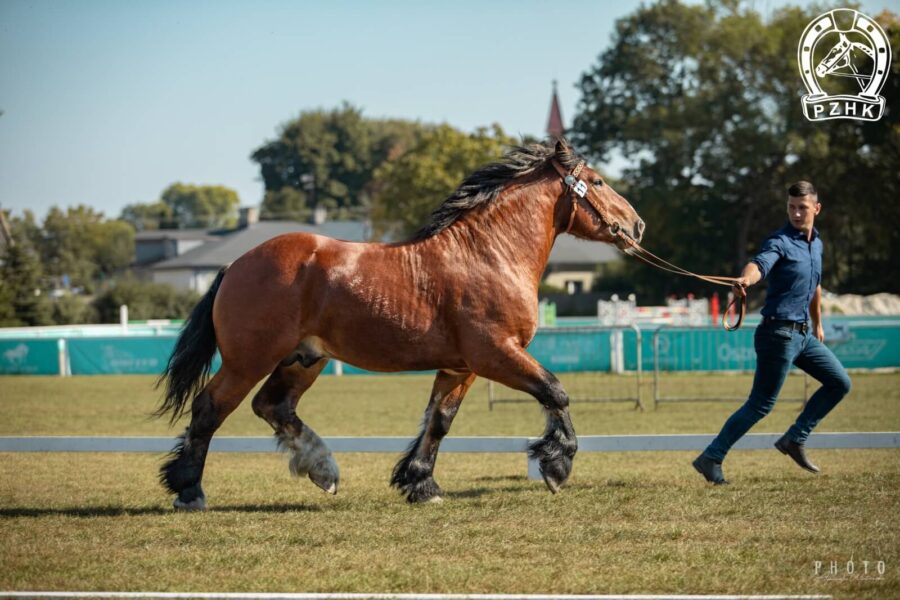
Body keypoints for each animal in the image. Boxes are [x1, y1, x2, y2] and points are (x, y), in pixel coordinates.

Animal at [158, 139, 644, 506]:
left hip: (303, 359)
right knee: (210, 408)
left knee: (273, 405)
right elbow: (555, 391)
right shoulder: (495, 354)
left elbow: (439, 421)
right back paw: (189, 490)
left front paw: (420, 482)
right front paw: (556, 463)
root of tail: (235, 265)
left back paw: (322, 469)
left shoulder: (459, 367)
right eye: (598, 181)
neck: (489, 254)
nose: (636, 226)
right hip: (249, 360)